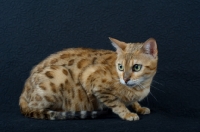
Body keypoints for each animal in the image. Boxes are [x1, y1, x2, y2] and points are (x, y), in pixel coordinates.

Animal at [19, 37, 159, 120]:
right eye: (120, 67)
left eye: (136, 67)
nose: (125, 79)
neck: (140, 88)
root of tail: (23, 91)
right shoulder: (92, 80)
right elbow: (117, 103)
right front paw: (127, 113)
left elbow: (133, 102)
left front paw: (139, 107)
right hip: (58, 73)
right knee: (35, 108)